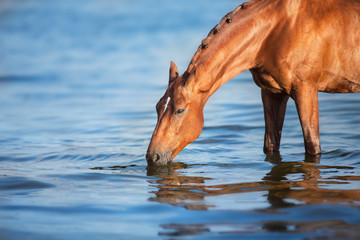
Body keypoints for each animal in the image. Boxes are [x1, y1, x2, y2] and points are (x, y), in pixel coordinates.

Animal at [146, 0, 360, 165]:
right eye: (157, 107)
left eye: (180, 110)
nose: (152, 157)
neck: (277, 30)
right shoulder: (272, 93)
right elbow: (271, 146)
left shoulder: (305, 89)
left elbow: (312, 147)